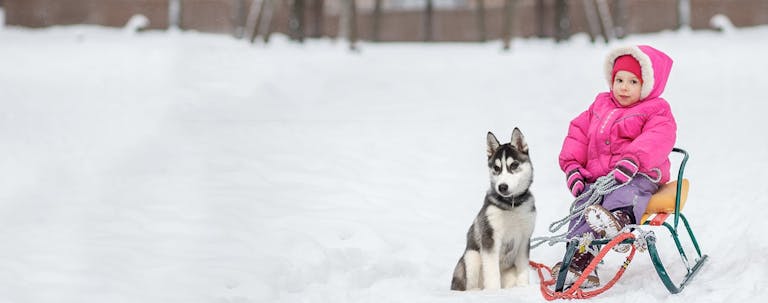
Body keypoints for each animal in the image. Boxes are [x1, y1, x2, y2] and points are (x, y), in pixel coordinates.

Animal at [448, 128, 536, 292]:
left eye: (513, 165)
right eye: (496, 168)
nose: (502, 187)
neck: (512, 206)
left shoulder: (524, 240)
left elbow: (523, 269)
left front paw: (523, 288)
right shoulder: (490, 239)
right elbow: (492, 272)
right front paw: (493, 292)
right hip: (471, 257)